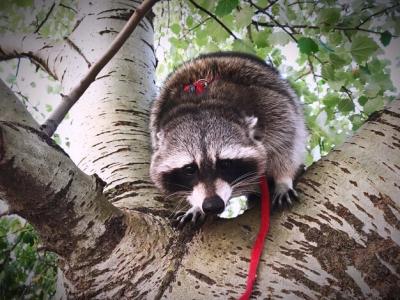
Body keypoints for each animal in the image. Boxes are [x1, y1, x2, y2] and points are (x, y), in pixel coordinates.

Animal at [149, 51, 306, 226]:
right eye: (189, 169)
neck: (200, 104)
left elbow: (285, 139)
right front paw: (195, 205)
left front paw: (283, 180)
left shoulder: (268, 103)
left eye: (225, 164)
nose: (212, 205)